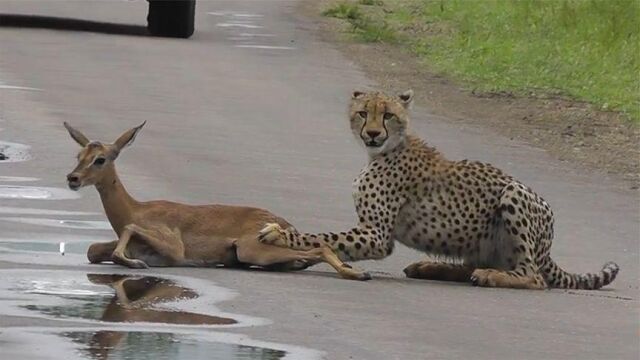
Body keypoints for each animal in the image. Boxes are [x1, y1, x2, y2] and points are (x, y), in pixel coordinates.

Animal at [260, 90, 620, 290]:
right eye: (363, 113)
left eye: (388, 115)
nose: (373, 133)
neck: (387, 149)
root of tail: (548, 248)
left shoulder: (377, 235)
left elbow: (321, 237)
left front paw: (280, 235)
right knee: (476, 265)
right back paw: (433, 267)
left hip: (513, 194)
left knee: (533, 277)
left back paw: (490, 277)